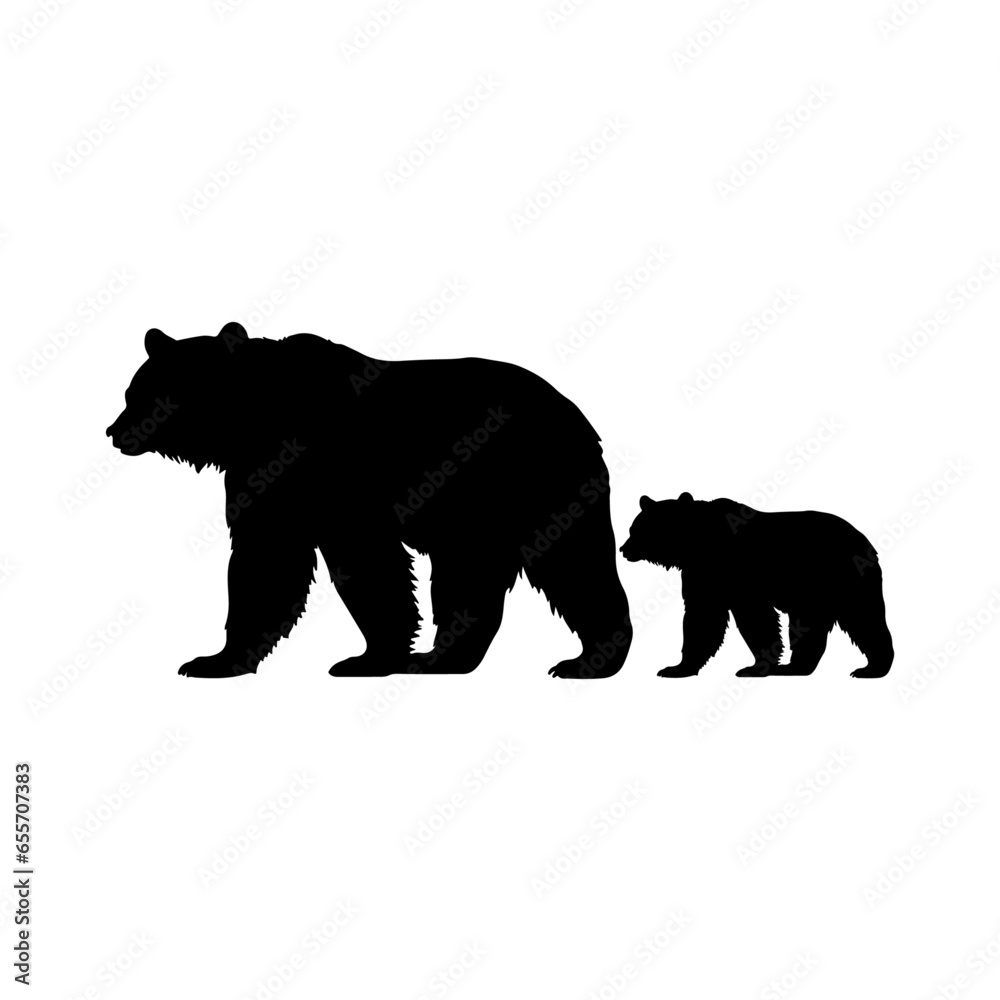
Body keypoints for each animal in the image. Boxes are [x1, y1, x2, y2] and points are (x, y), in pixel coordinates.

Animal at [106, 322, 632, 680]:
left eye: (142, 394)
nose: (114, 431)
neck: (253, 422)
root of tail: (578, 413)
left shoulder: (335, 474)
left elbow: (362, 560)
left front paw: (367, 657)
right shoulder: (267, 479)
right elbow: (269, 558)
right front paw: (216, 659)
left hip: (530, 482)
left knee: (572, 563)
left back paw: (589, 659)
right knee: (470, 576)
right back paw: (444, 658)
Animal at [620, 492, 893, 678]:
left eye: (638, 529)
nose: (623, 549)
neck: (697, 546)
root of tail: (865, 540)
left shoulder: (735, 573)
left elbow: (750, 617)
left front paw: (755, 666)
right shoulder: (703, 575)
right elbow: (704, 614)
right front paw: (677, 667)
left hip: (839, 578)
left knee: (863, 618)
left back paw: (871, 668)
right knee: (811, 625)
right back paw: (797, 667)